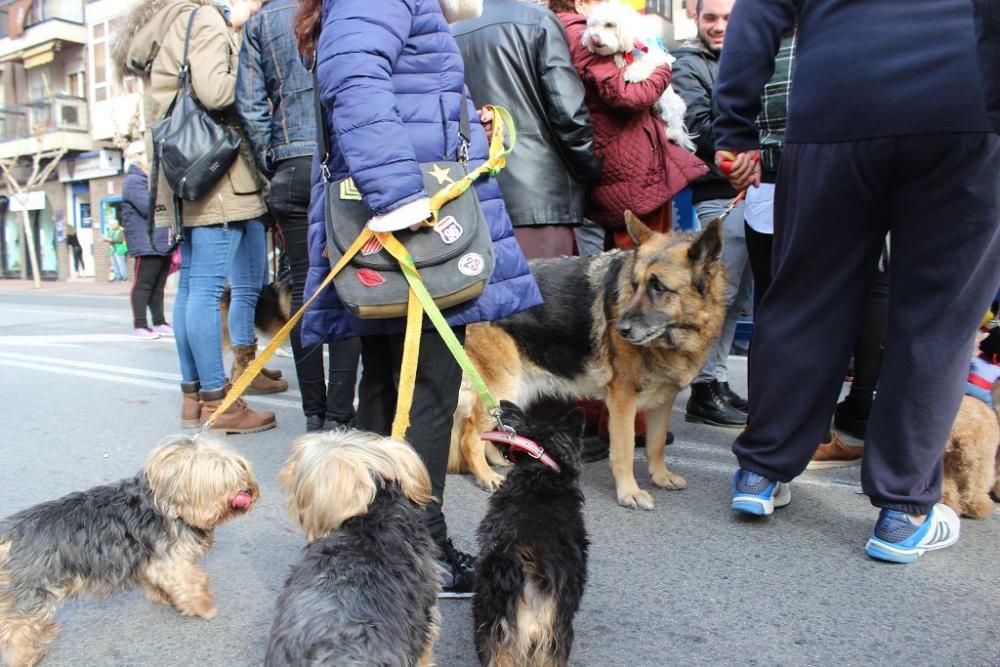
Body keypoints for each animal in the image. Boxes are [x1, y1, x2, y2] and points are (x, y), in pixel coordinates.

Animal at [450, 214, 724, 512]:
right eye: (635, 285)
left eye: (659, 287)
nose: (621, 329)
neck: (675, 335)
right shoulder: (622, 400)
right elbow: (625, 450)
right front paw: (629, 492)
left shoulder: (663, 401)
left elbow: (656, 443)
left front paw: (660, 476)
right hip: (504, 383)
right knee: (469, 435)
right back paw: (486, 475)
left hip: (513, 389)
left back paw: (500, 459)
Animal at [580, 1, 696, 151]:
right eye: (592, 26)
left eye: (609, 25)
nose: (593, 38)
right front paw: (620, 60)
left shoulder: (656, 57)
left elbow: (644, 63)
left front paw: (633, 72)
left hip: (670, 102)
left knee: (675, 118)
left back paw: (674, 135)